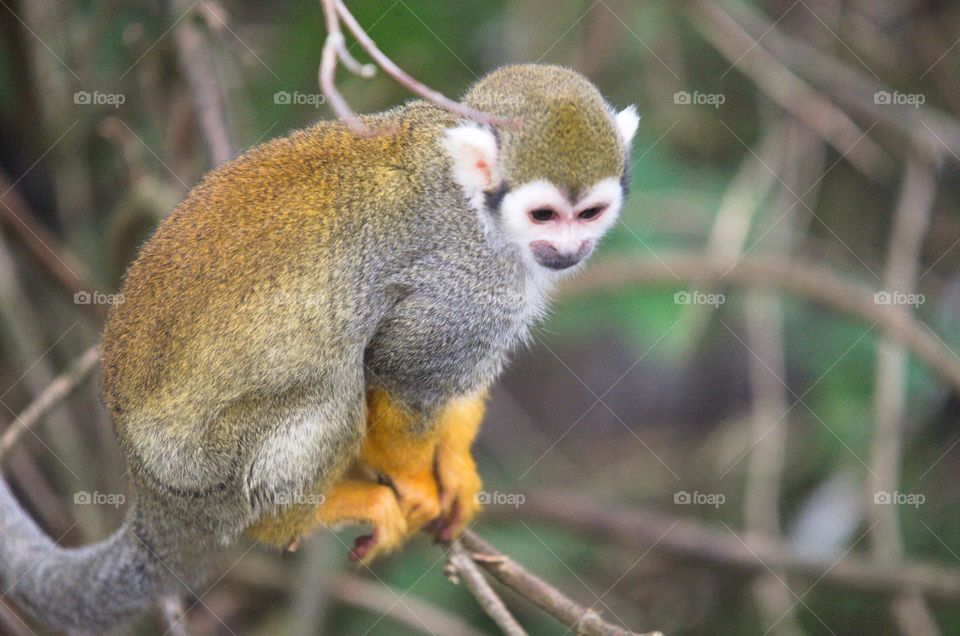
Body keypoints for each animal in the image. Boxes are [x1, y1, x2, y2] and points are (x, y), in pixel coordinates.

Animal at [0, 64, 638, 632]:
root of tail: (150, 491)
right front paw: (416, 485)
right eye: (544, 215)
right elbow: (399, 370)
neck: (474, 205)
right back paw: (292, 520)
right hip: (207, 471)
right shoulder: (466, 280)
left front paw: (454, 463)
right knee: (329, 386)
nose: (569, 249)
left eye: (589, 213)